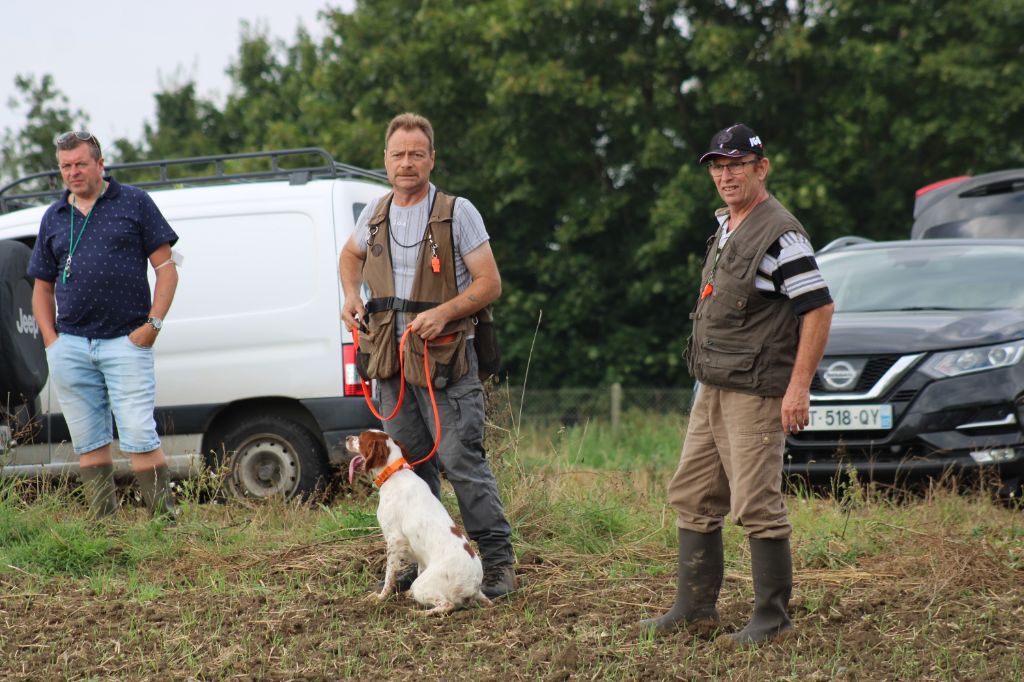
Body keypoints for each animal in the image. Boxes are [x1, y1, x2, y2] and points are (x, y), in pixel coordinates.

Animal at [346, 428, 489, 614]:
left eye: (361, 438)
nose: (347, 437)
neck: (394, 474)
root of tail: (474, 585)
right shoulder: (416, 551)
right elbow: (418, 567)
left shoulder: (394, 539)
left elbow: (389, 575)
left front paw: (381, 597)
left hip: (423, 586)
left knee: (447, 605)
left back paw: (419, 613)